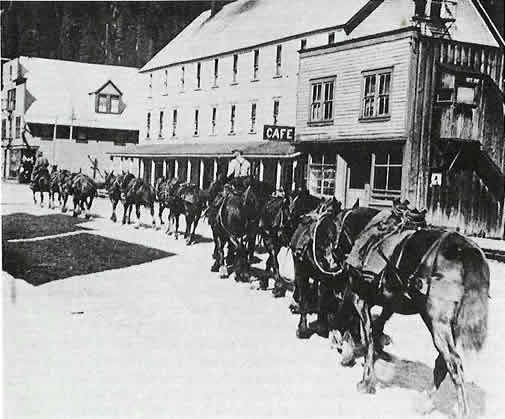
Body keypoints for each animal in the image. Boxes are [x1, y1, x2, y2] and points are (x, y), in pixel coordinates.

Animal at [326, 208, 488, 418]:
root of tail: (465, 251)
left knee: (453, 363)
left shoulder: (356, 296)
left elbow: (357, 327)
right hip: (450, 325)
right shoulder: (389, 303)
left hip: (437, 322)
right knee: (442, 364)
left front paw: (362, 374)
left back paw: (462, 410)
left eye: (331, 231)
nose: (329, 258)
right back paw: (426, 402)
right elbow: (375, 329)